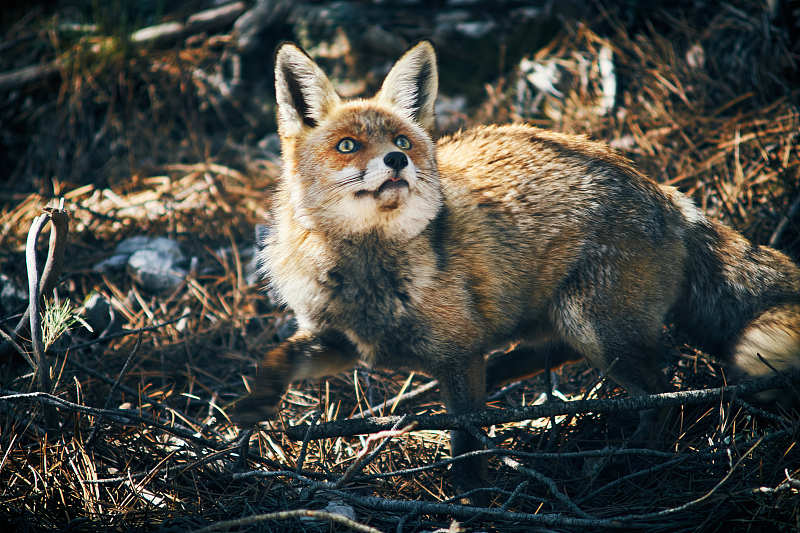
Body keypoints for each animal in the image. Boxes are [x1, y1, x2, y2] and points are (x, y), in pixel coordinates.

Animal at [234, 39, 800, 490]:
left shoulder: (457, 354)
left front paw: (470, 501)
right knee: (555, 355)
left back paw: (628, 460)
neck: (368, 272)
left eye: (401, 142)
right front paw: (256, 406)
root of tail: (667, 193)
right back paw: (506, 378)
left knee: (662, 395)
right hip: (568, 322)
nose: (398, 162)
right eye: (347, 145)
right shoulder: (346, 340)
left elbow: (466, 442)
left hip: (596, 328)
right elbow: (279, 357)